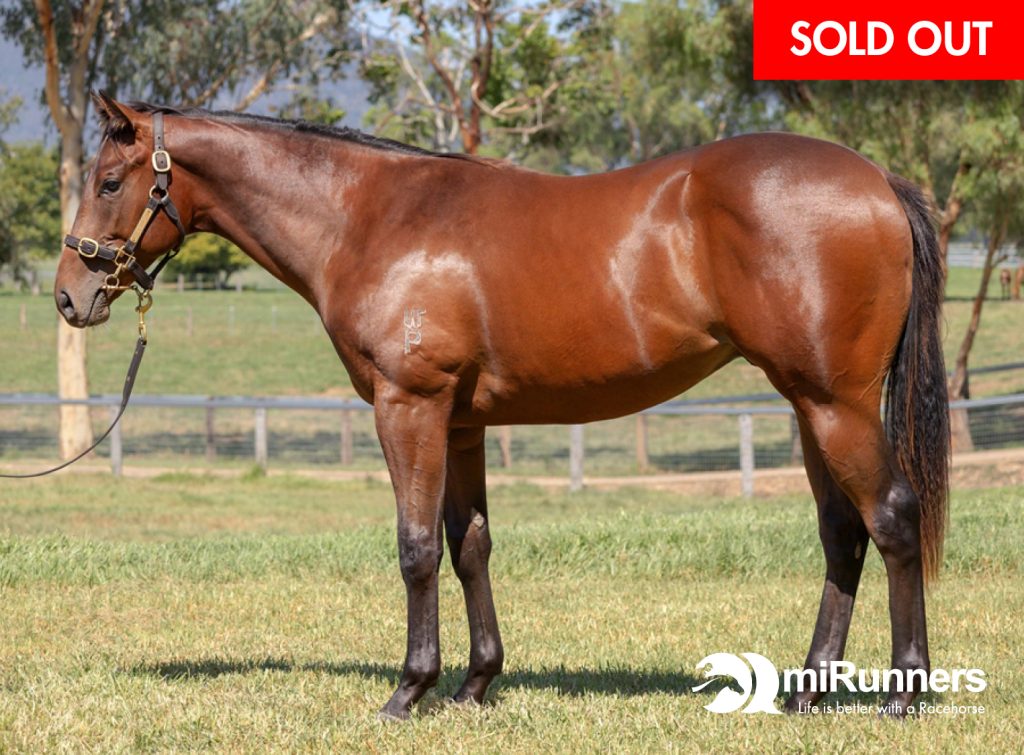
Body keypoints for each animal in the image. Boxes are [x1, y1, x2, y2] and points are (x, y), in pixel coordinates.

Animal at [55, 93, 949, 720]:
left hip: (835, 405)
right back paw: (806, 691)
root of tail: (878, 180)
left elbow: (417, 547)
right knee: (842, 534)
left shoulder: (407, 407)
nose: (70, 296)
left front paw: (409, 689)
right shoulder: (461, 422)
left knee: (892, 517)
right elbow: (469, 544)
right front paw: (475, 683)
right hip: (807, 405)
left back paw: (903, 691)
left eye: (108, 181)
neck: (369, 217)